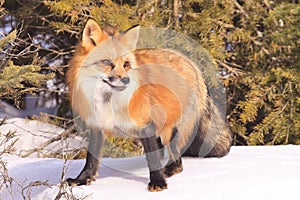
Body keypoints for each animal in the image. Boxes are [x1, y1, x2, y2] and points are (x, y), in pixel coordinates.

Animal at [66, 19, 232, 191]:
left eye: (126, 64)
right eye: (106, 62)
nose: (126, 80)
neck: (109, 102)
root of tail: (192, 65)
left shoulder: (145, 125)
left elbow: (152, 159)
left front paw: (158, 182)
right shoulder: (98, 126)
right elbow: (91, 160)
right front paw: (82, 179)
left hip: (168, 129)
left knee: (177, 162)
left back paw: (168, 171)